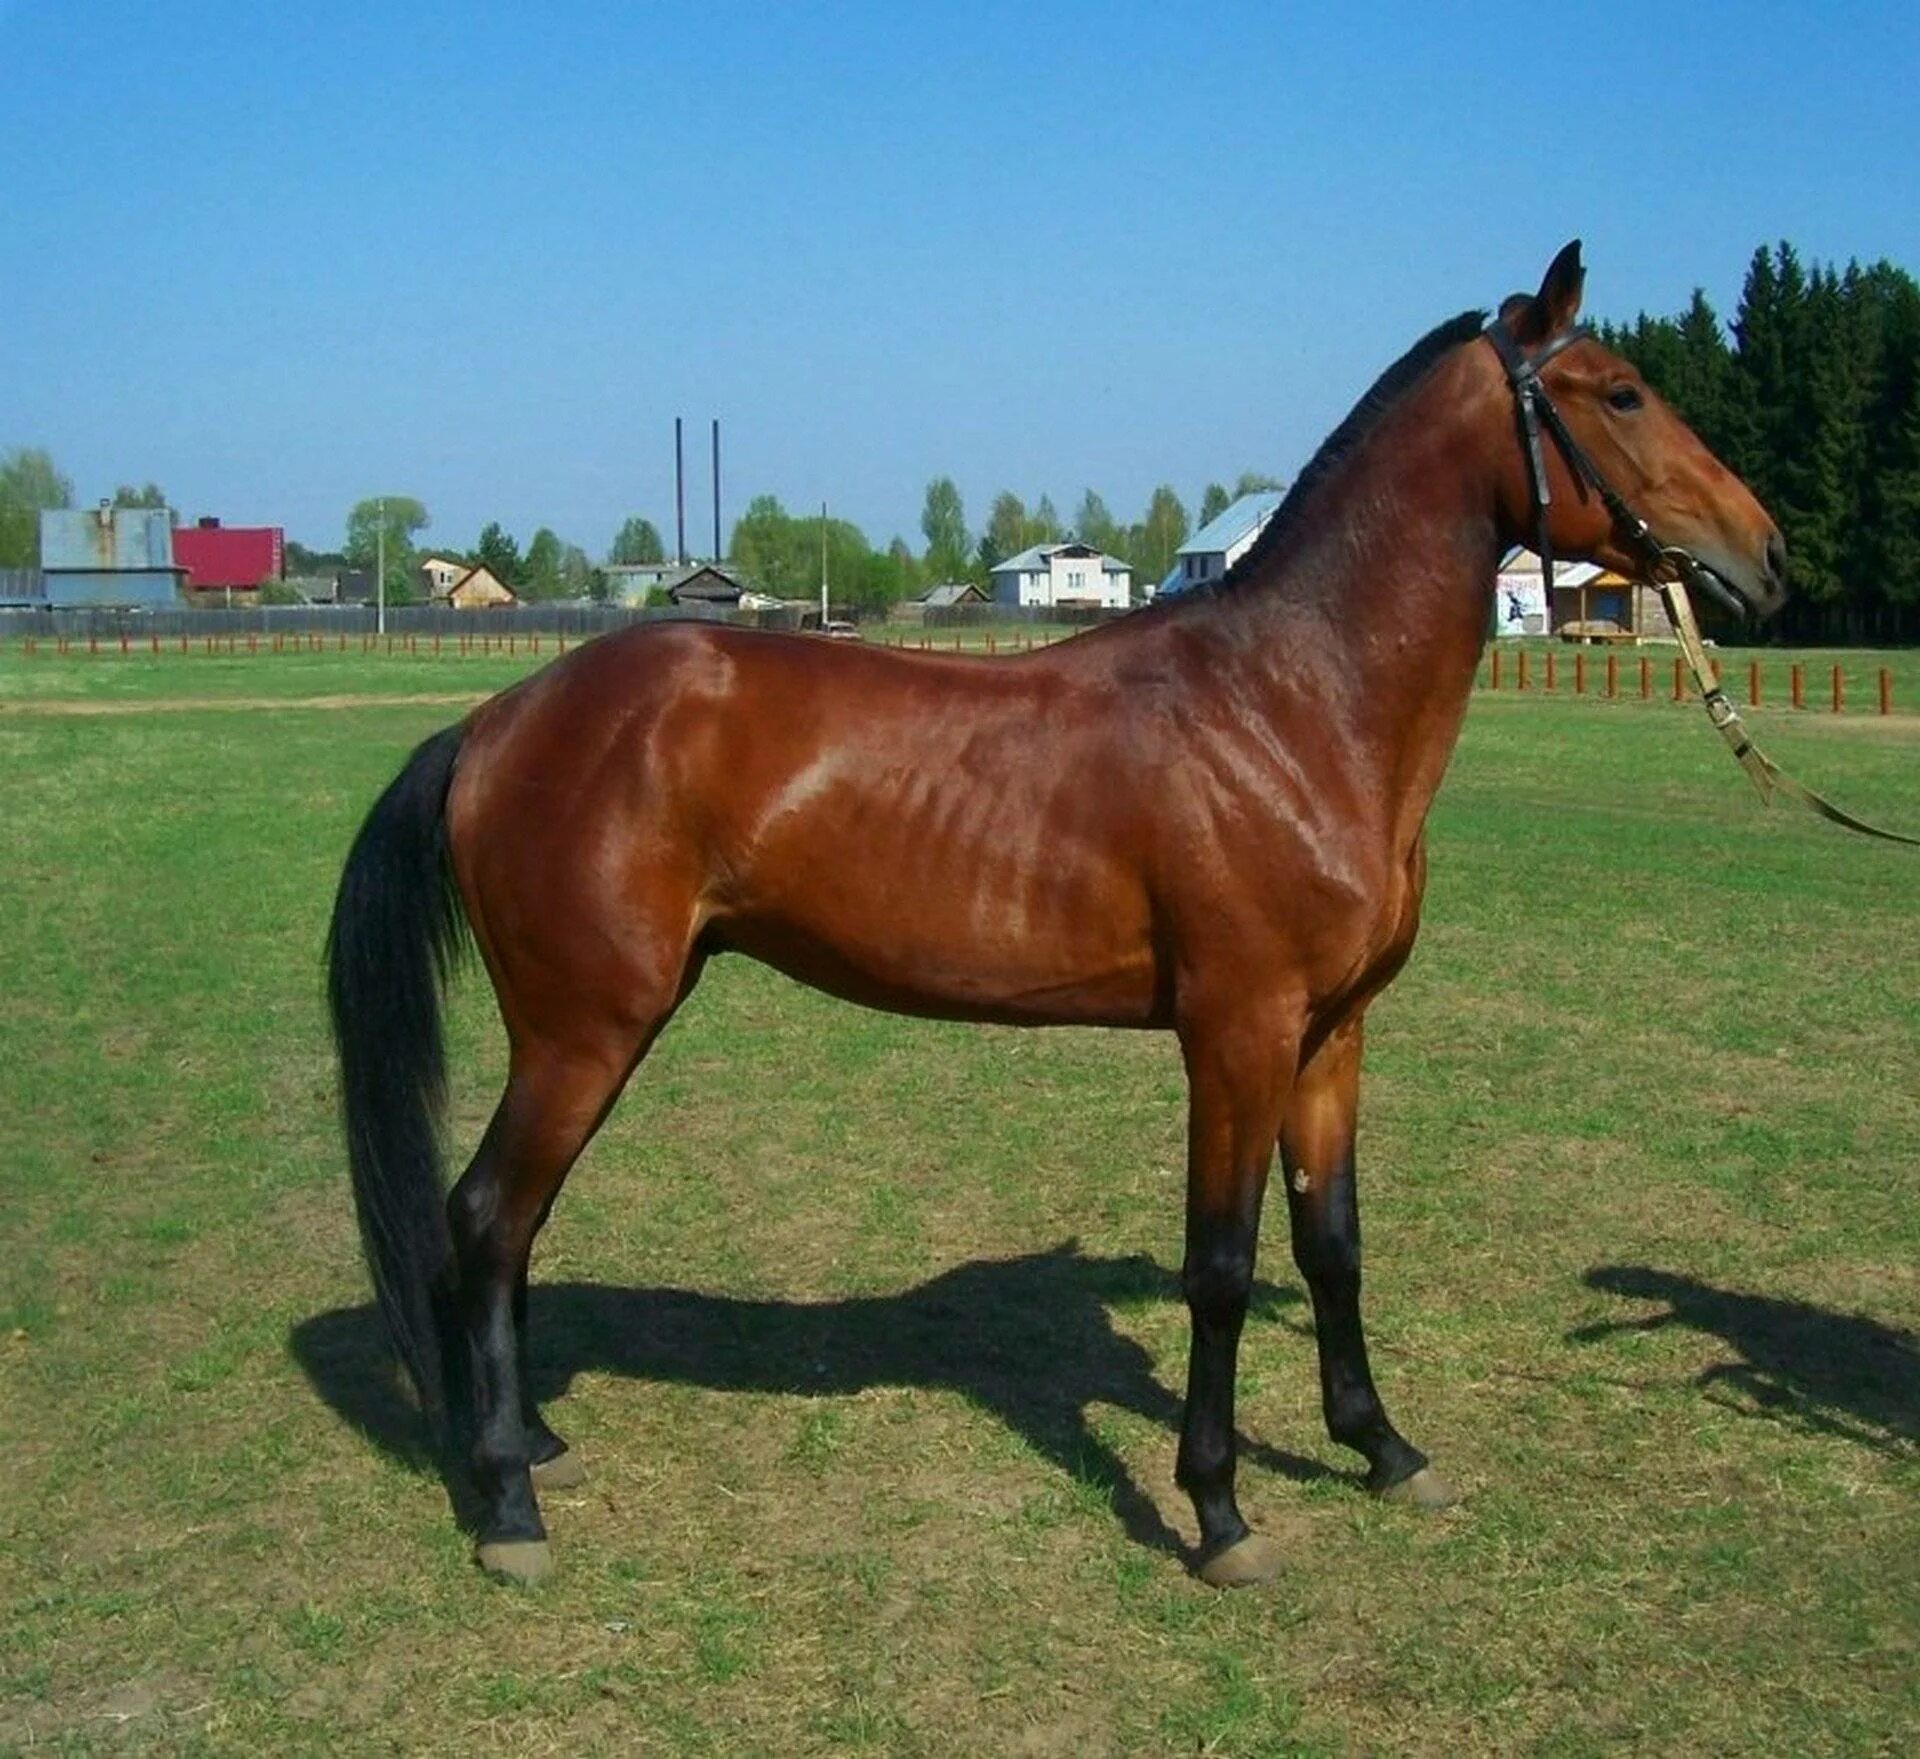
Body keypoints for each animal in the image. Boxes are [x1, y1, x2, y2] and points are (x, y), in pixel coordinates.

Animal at [330, 240, 1781, 1590]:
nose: (1764, 555)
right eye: (1621, 391)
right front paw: (1220, 1512)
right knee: (484, 1219)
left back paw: (526, 1445)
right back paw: (508, 1503)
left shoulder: (1332, 1034)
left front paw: (1382, 1447)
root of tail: (497, 723)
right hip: (584, 1027)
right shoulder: (1238, 1034)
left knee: (509, 1230)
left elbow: (1334, 1245)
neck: (1294, 702)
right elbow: (1222, 1267)